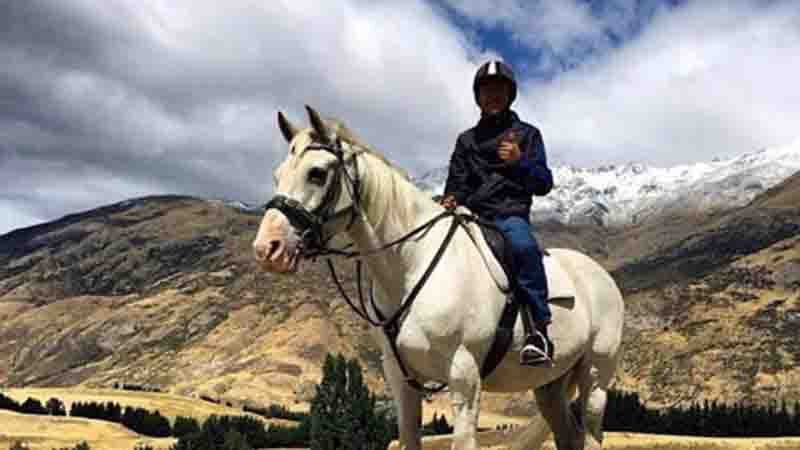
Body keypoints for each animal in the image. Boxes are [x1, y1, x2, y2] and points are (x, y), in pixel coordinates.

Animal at [255, 106, 624, 450]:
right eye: (276, 175)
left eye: (316, 173)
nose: (267, 248)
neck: (412, 265)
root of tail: (601, 277)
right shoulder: (401, 380)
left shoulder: (464, 377)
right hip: (550, 384)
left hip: (595, 377)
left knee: (592, 432)